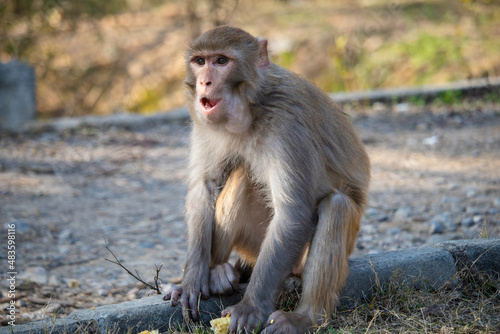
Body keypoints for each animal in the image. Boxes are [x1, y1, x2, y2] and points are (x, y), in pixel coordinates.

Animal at [163, 26, 368, 334]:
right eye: (200, 61)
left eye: (221, 61)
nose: (204, 81)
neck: (250, 108)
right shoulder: (203, 122)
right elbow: (205, 186)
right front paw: (192, 280)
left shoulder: (289, 124)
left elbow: (293, 214)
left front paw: (251, 307)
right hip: (253, 246)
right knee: (242, 176)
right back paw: (218, 270)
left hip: (305, 257)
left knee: (338, 206)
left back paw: (306, 317)